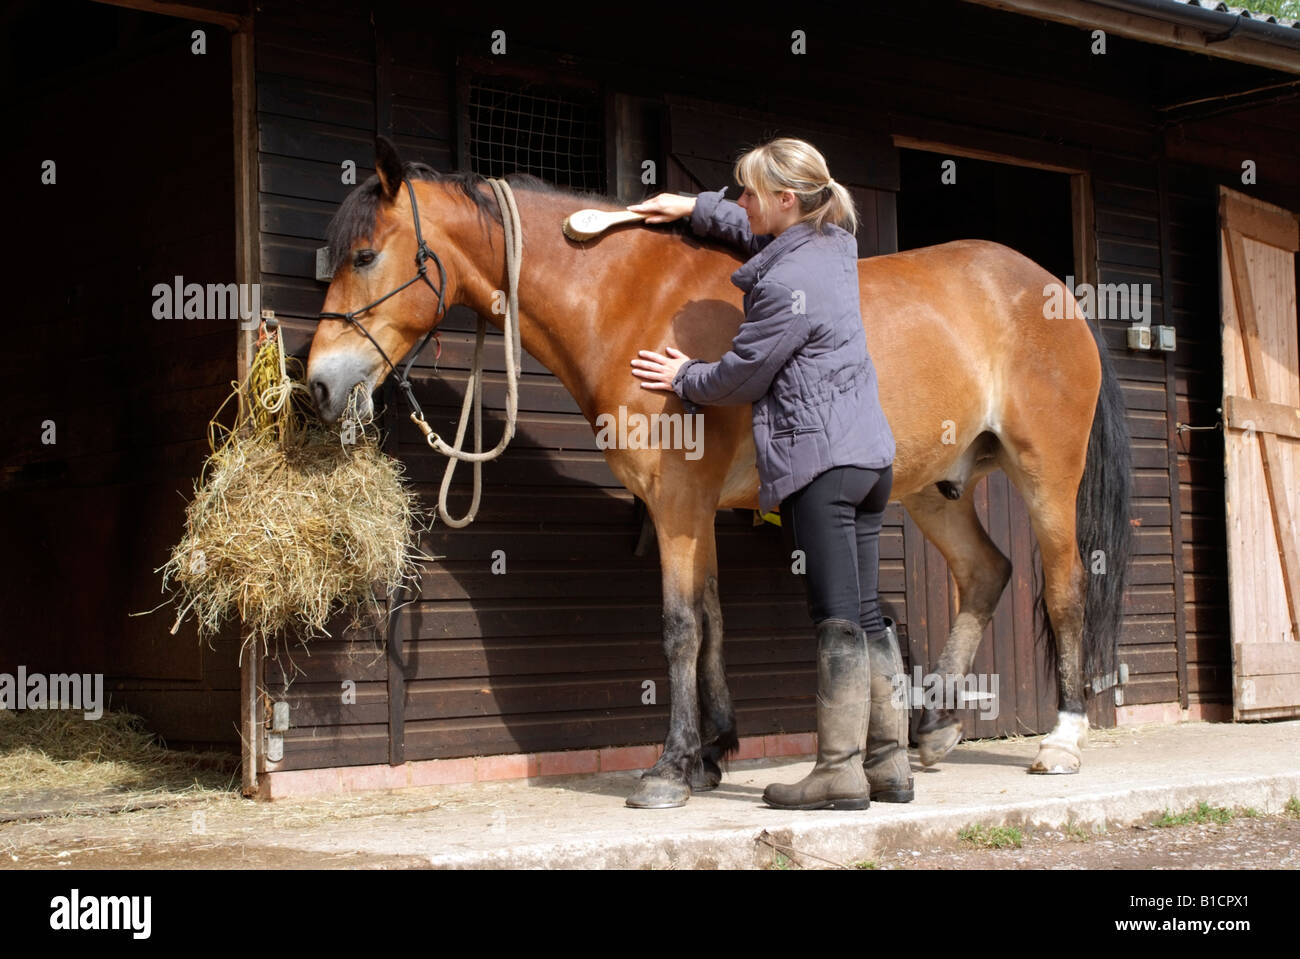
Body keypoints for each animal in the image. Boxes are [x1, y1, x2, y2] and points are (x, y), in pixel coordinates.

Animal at [304, 136, 1128, 805]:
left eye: (365, 256)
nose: (318, 385)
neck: (632, 299)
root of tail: (1053, 290)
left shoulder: (676, 503)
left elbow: (679, 630)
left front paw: (670, 768)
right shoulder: (693, 509)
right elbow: (712, 620)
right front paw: (711, 752)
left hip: (1046, 475)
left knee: (1063, 589)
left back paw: (1060, 740)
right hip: (933, 488)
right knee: (986, 573)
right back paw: (930, 729)